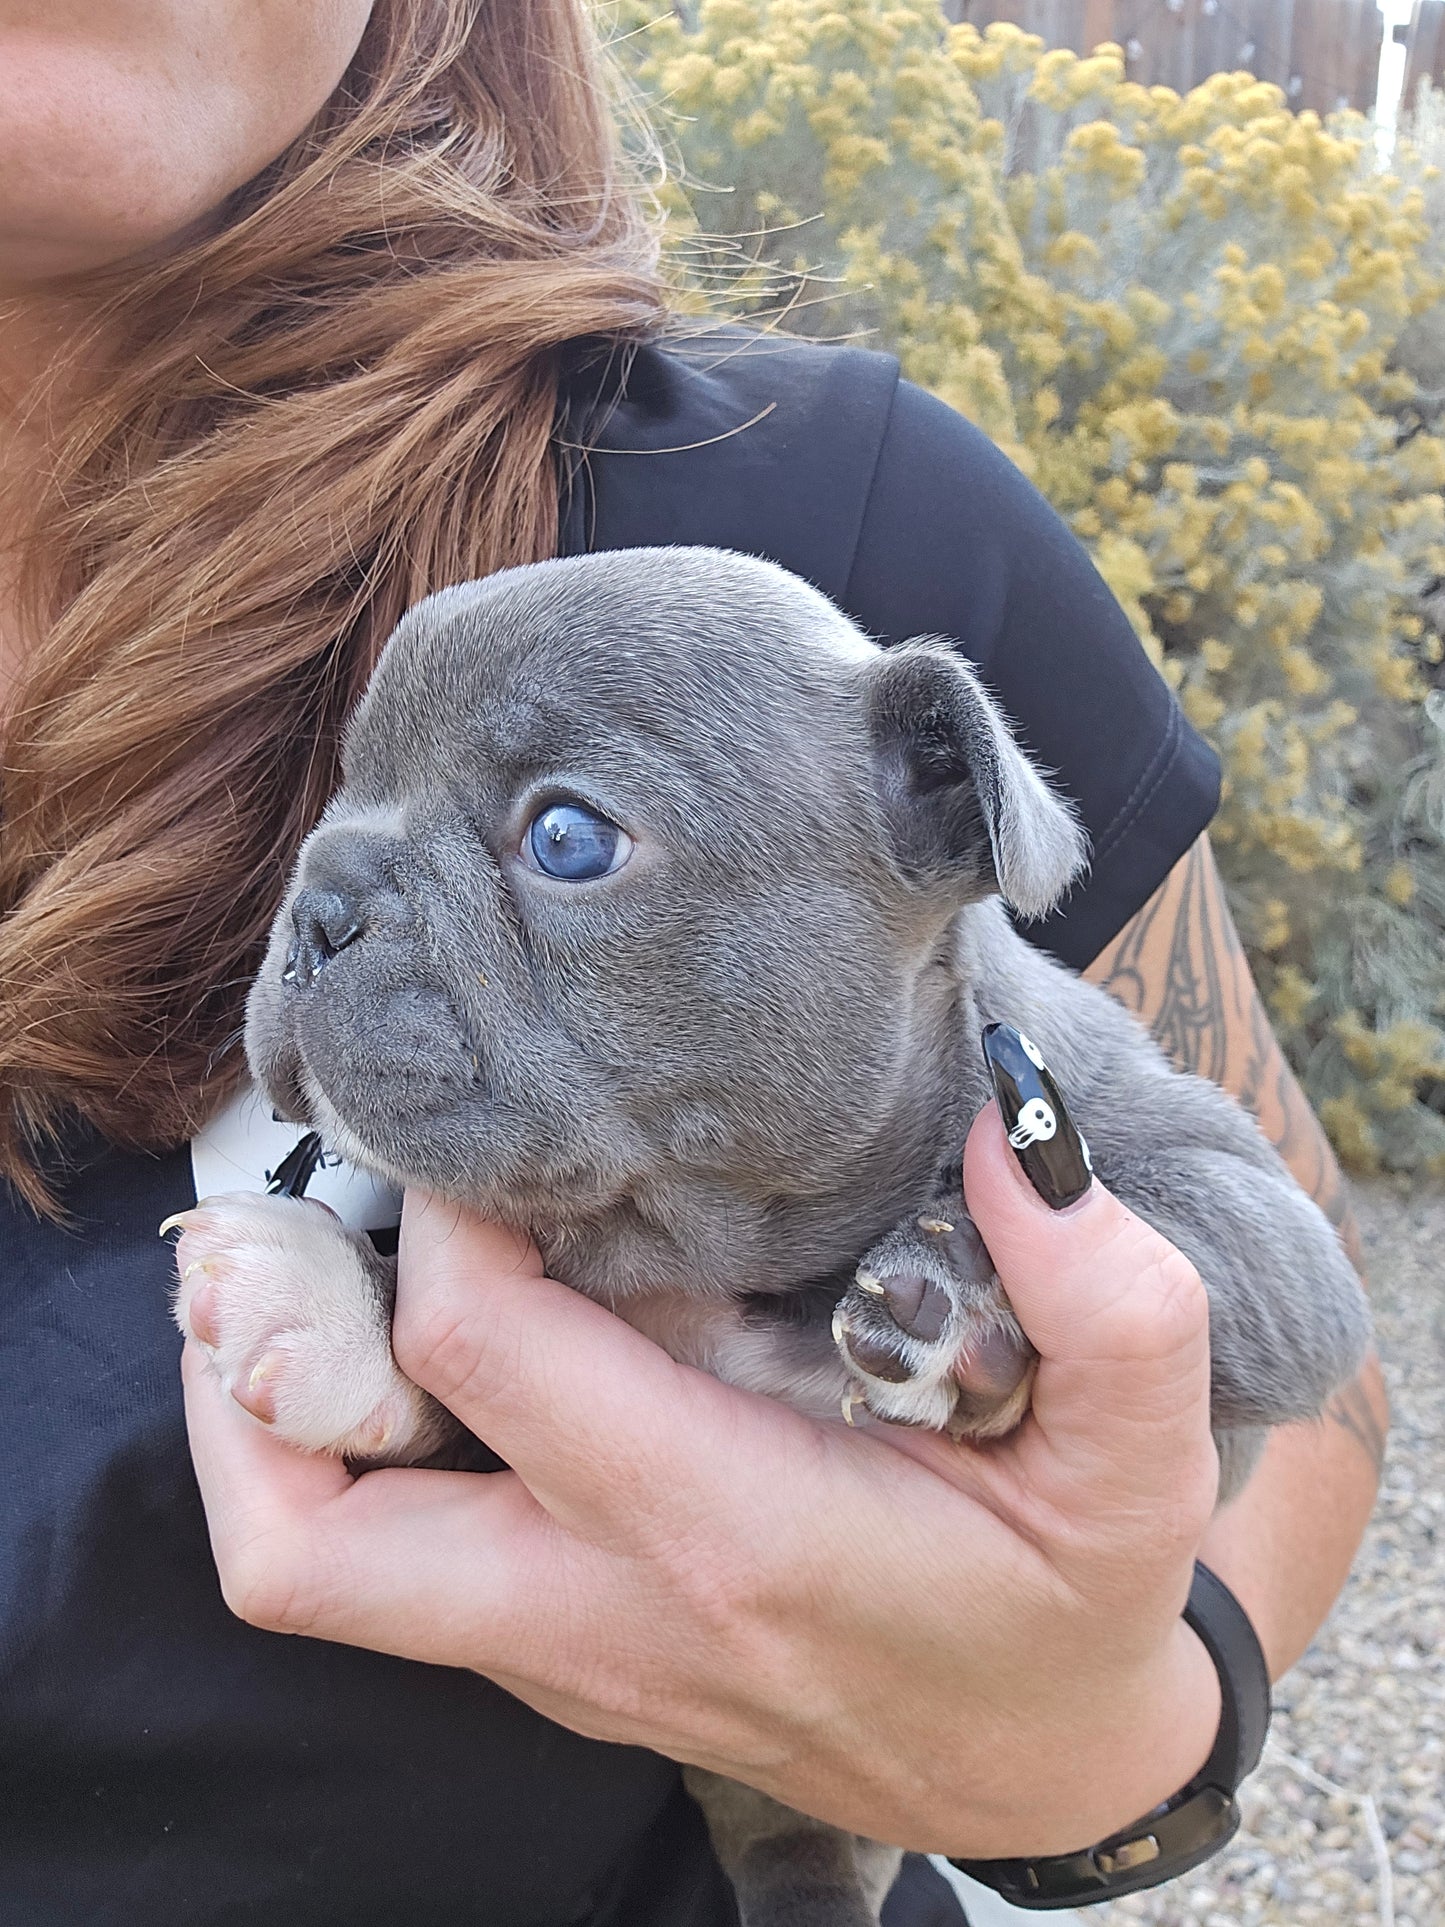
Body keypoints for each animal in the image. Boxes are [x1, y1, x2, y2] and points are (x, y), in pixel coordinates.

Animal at [175, 543, 1371, 1927]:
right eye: (343, 792)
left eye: (567, 838)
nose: (316, 905)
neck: (717, 1260)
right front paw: (330, 1304)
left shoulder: (1261, 1223)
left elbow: (1174, 1226)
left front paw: (959, 1297)